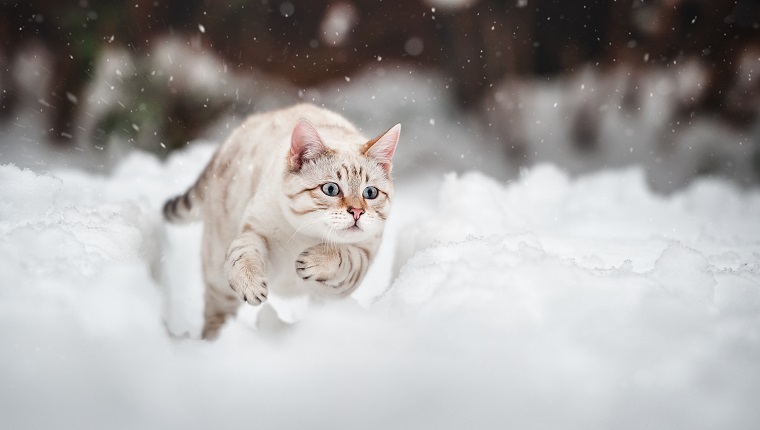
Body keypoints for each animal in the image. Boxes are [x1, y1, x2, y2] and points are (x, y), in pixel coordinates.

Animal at [163, 104, 400, 340]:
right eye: (331, 189)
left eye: (370, 193)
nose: (357, 212)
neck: (306, 236)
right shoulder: (256, 231)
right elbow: (243, 253)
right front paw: (250, 284)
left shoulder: (358, 264)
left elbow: (345, 256)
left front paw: (313, 260)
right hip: (217, 271)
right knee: (217, 312)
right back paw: (214, 341)